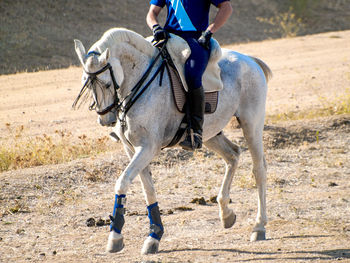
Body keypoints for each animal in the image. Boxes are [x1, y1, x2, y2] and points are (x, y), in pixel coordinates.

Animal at [73, 28, 270, 256]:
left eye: (106, 84)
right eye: (85, 83)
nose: (106, 119)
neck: (140, 80)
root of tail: (249, 60)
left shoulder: (148, 148)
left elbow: (122, 182)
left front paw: (115, 236)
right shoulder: (132, 149)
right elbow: (148, 190)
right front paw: (153, 235)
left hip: (251, 125)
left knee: (258, 169)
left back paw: (259, 227)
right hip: (211, 134)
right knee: (233, 155)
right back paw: (226, 213)